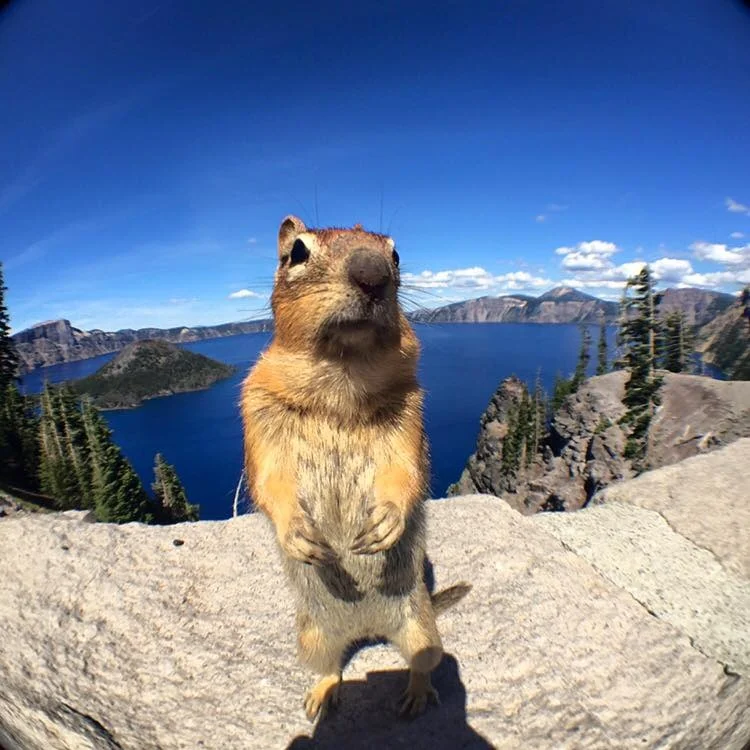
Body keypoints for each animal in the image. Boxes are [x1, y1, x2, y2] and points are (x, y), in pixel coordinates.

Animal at [241, 215, 470, 723]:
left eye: (396, 253)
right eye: (297, 252)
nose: (373, 274)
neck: (341, 378)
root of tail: (367, 631)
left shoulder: (408, 415)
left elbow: (406, 471)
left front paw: (386, 522)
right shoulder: (258, 413)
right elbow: (270, 480)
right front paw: (298, 534)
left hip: (421, 630)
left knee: (422, 663)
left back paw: (416, 695)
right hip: (312, 639)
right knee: (330, 667)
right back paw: (321, 695)